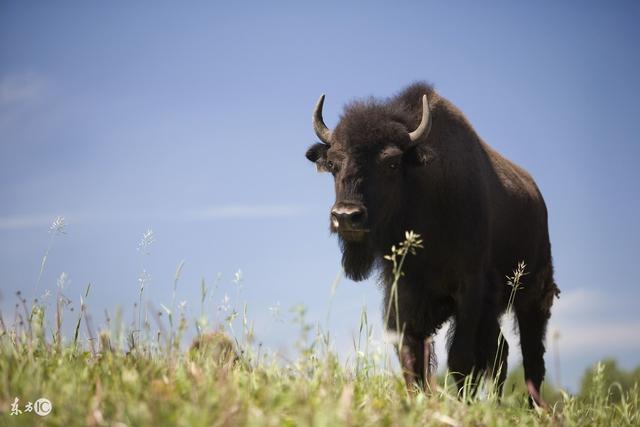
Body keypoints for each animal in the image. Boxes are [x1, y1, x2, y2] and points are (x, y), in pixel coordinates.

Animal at [304, 83, 560, 404]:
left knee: (531, 357)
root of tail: (537, 197)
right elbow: (411, 357)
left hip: (532, 296)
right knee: (501, 352)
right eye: (333, 164)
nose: (346, 216)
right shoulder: (403, 296)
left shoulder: (469, 291)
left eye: (391, 162)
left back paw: (534, 408)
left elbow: (461, 358)